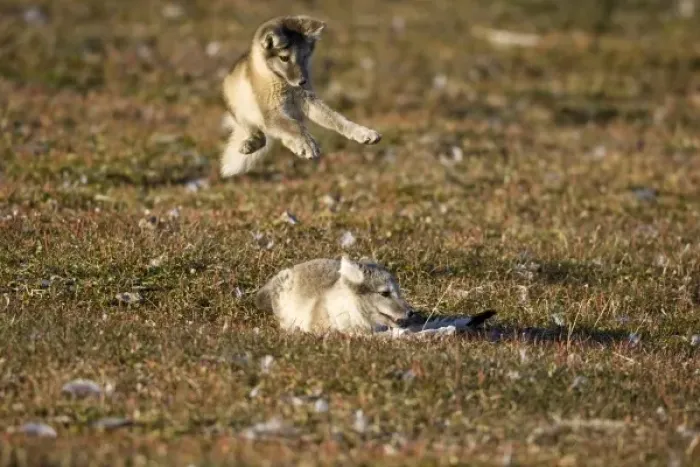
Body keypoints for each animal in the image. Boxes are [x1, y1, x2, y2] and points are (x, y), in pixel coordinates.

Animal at [220, 15, 382, 177]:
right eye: (284, 58)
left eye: (304, 56)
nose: (302, 81)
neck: (286, 85)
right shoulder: (271, 113)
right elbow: (294, 126)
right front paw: (308, 145)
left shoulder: (308, 101)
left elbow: (338, 119)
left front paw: (363, 133)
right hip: (239, 111)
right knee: (261, 135)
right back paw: (250, 145)